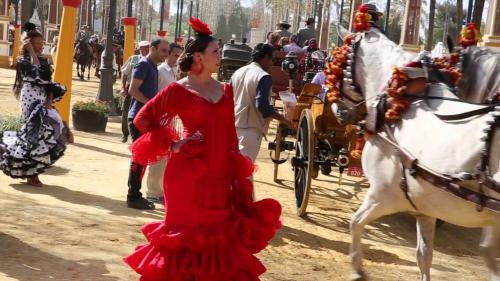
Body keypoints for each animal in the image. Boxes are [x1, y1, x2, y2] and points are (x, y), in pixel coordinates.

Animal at [332, 27, 500, 280]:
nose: (338, 111)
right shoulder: (426, 209)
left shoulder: (381, 194)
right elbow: (424, 256)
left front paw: (356, 269)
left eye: (339, 65)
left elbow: (355, 223)